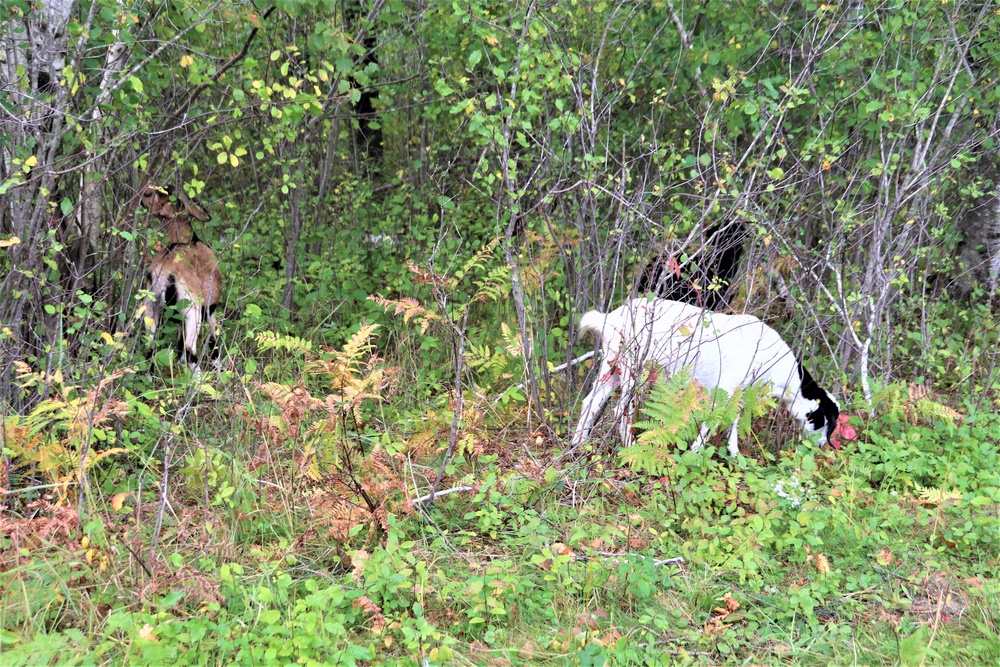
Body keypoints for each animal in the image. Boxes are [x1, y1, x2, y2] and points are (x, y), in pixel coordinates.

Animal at [136, 185, 222, 370]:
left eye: (161, 192)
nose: (142, 194)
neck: (188, 240)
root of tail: (164, 275)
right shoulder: (210, 310)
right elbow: (214, 343)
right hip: (192, 312)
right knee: (191, 351)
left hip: (151, 309)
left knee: (151, 349)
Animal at [572, 300, 844, 456]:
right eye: (827, 423)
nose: (823, 447)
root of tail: (612, 318)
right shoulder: (725, 389)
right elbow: (714, 421)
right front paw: (695, 452)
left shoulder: (738, 392)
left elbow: (734, 419)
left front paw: (733, 451)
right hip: (634, 371)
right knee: (620, 409)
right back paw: (629, 446)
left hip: (613, 369)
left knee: (590, 403)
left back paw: (577, 444)